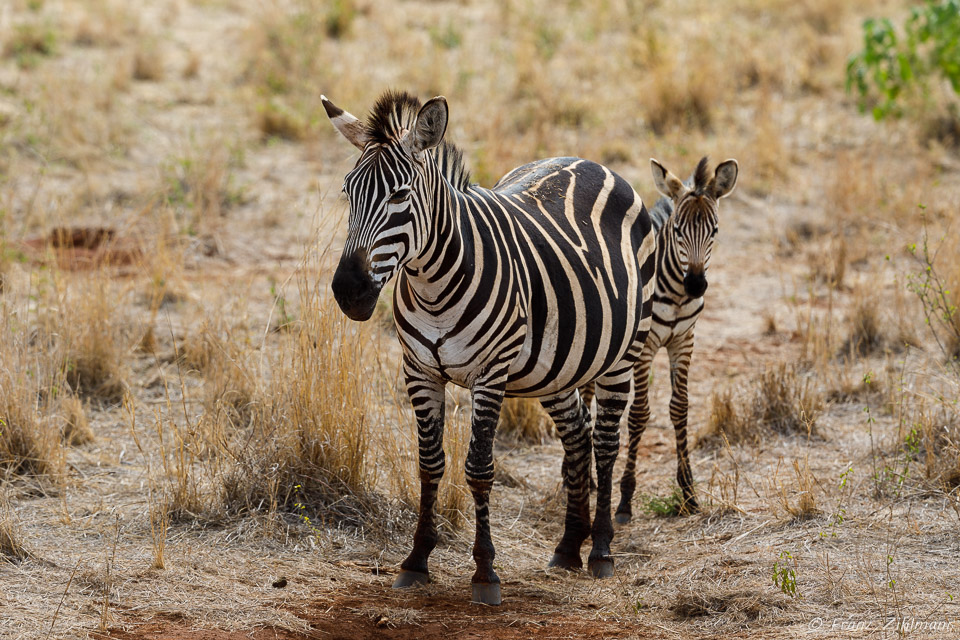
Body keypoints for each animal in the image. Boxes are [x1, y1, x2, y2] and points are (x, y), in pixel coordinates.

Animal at [326, 90, 656, 604]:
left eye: (400, 195)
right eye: (347, 192)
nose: (349, 291)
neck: (433, 285)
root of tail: (591, 162)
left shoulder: (491, 373)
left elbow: (479, 468)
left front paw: (484, 572)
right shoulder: (419, 370)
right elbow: (429, 465)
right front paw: (416, 559)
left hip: (622, 354)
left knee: (604, 440)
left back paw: (601, 548)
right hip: (557, 369)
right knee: (578, 436)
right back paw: (569, 546)